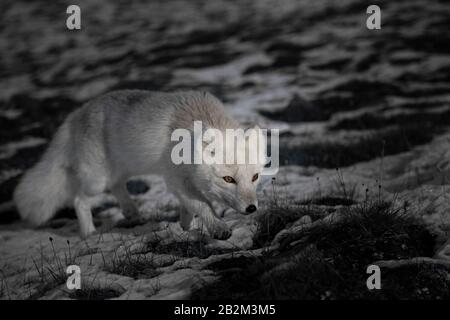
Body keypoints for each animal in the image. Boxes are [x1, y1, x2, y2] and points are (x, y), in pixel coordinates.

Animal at [14, 90, 268, 238]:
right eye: (229, 179)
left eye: (255, 177)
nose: (251, 209)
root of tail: (77, 113)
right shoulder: (175, 179)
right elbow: (201, 205)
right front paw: (217, 228)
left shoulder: (182, 180)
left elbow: (189, 208)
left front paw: (187, 229)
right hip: (97, 181)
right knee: (79, 200)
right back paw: (89, 233)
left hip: (121, 169)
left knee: (117, 186)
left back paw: (131, 211)